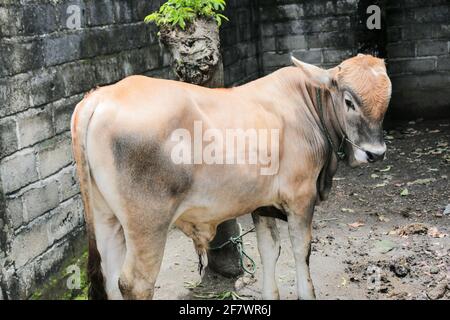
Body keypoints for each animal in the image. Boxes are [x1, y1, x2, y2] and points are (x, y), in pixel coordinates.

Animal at [70, 53, 390, 300]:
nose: (376, 153)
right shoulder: (301, 199)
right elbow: (301, 251)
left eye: (386, 102)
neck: (308, 106)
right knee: (135, 283)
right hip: (148, 224)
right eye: (349, 101)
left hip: (106, 218)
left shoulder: (263, 205)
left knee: (110, 277)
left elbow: (269, 251)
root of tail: (100, 97)